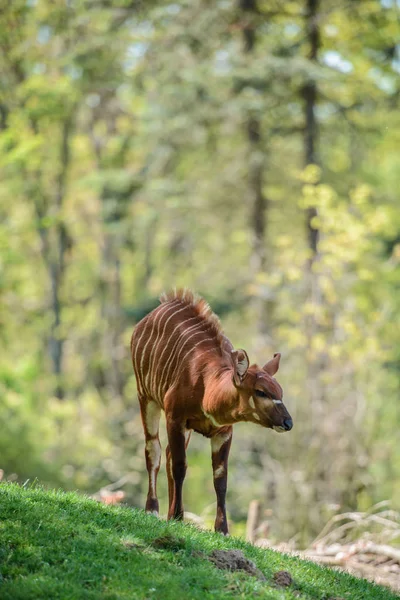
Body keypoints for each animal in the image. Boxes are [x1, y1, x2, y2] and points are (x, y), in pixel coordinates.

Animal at [131, 290, 294, 536]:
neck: (208, 386)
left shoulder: (223, 432)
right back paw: (153, 510)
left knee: (166, 453)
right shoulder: (175, 417)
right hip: (146, 397)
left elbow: (221, 479)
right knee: (154, 449)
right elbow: (180, 466)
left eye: (280, 391)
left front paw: (222, 529)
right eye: (261, 391)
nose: (288, 422)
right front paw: (177, 517)